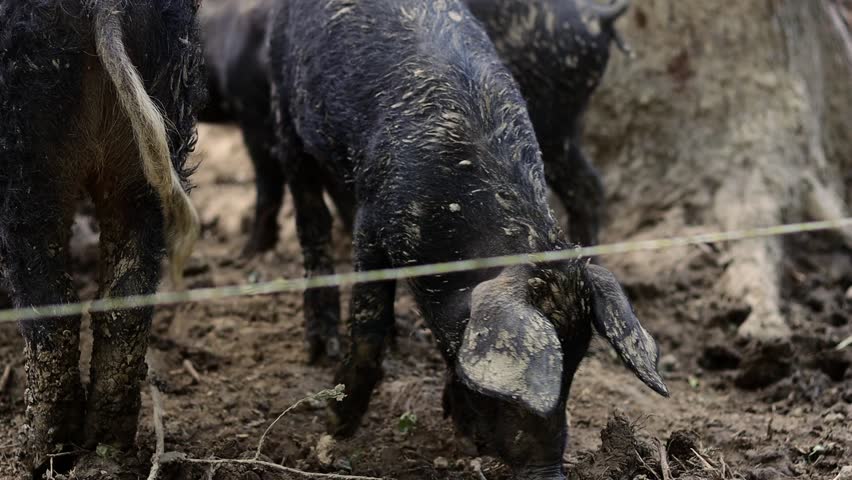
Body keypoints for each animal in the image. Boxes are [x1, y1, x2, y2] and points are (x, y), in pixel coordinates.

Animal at [0, 0, 204, 472]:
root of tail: (107, 5)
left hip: (27, 155)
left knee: (50, 305)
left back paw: (38, 455)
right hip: (151, 146)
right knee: (126, 302)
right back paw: (106, 449)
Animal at [267, 1, 667, 478]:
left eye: (575, 364)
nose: (551, 470)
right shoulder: (376, 220)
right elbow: (367, 321)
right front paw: (334, 424)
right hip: (285, 106)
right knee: (311, 217)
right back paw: (320, 349)